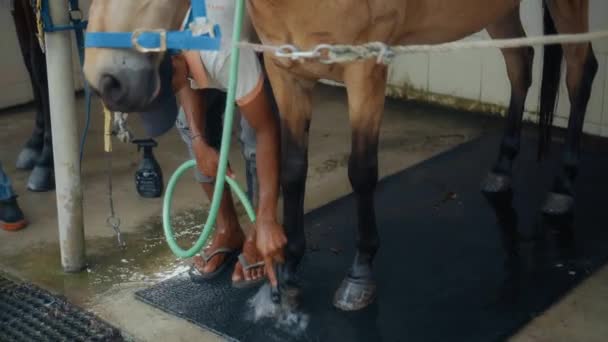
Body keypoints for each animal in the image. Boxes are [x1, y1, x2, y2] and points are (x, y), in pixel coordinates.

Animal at [83, 0, 596, 312]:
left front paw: (359, 274)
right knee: (521, 64)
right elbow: (292, 170)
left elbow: (362, 172)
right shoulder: (286, 72)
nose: (105, 80)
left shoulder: (365, 69)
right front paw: (288, 266)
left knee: (580, 69)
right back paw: (501, 169)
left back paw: (563, 190)